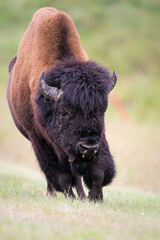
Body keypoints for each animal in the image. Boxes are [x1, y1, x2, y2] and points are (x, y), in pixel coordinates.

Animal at [7, 7, 117, 201]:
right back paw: (54, 194)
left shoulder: (99, 140)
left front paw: (95, 197)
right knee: (56, 175)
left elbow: (97, 171)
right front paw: (72, 197)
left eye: (101, 110)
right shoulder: (41, 141)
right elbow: (62, 176)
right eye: (64, 112)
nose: (88, 147)